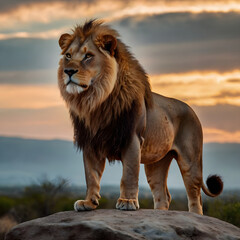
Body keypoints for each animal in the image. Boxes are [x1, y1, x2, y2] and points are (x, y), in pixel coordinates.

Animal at [58, 18, 223, 214]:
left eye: (88, 56)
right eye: (68, 56)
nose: (68, 71)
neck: (97, 100)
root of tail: (190, 109)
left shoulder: (132, 139)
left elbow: (129, 174)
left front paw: (127, 202)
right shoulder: (91, 142)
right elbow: (91, 175)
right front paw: (88, 203)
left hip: (191, 162)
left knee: (195, 197)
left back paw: (195, 216)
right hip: (156, 162)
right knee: (163, 195)